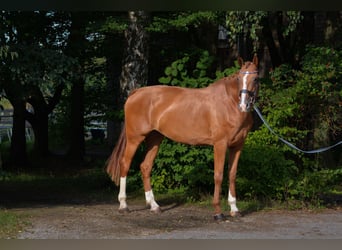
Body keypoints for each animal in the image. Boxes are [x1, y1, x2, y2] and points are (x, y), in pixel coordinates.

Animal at [107, 55, 260, 221]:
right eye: (239, 78)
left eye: (256, 79)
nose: (244, 105)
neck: (229, 104)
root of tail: (135, 92)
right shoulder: (220, 144)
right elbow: (218, 175)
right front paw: (218, 212)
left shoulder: (237, 146)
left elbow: (232, 175)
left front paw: (234, 209)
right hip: (135, 138)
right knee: (125, 164)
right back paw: (123, 205)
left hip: (155, 139)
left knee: (145, 166)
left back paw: (154, 206)